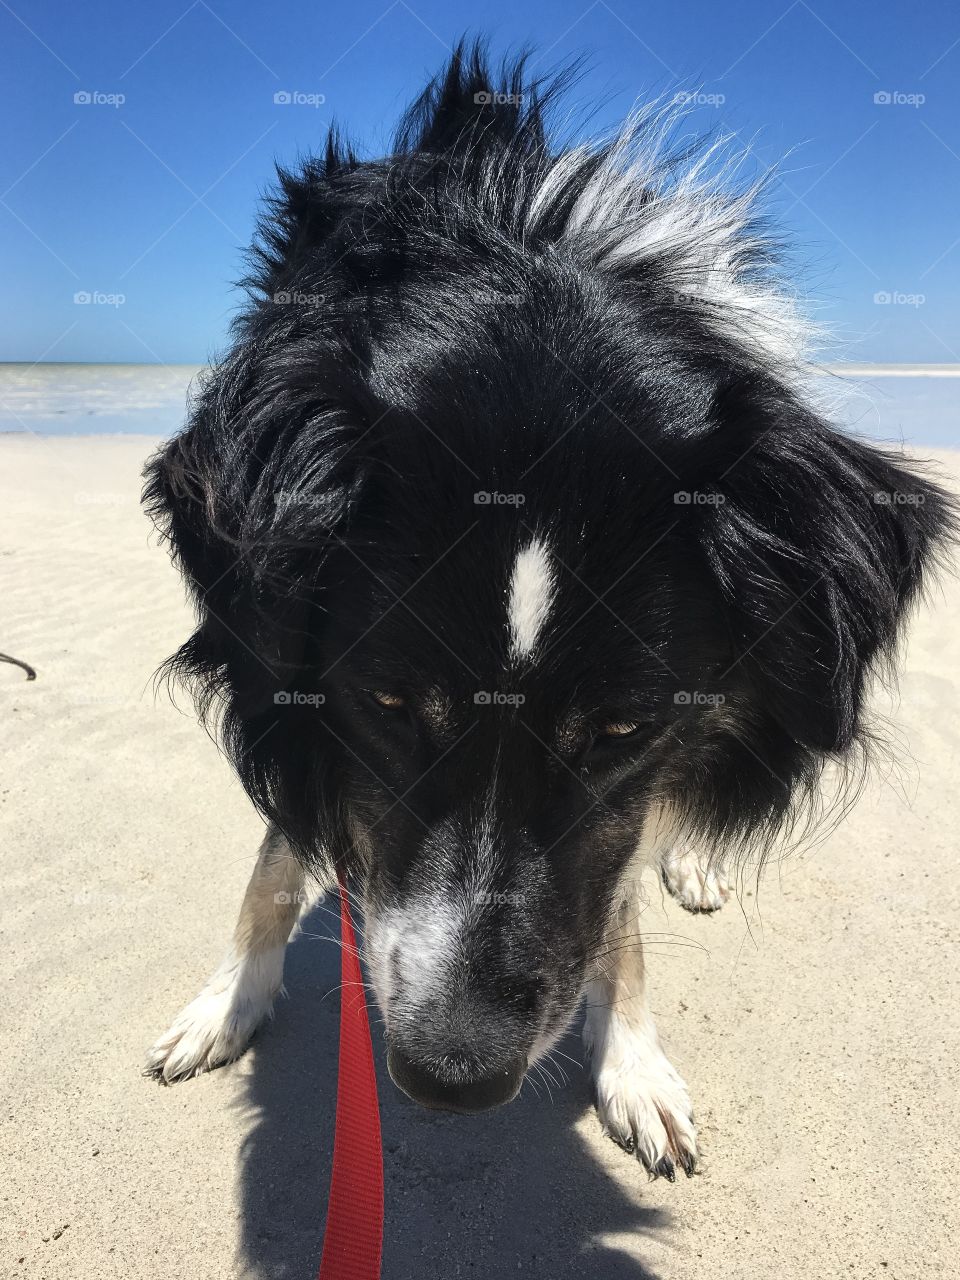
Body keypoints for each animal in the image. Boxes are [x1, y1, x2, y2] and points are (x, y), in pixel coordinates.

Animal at [142, 42, 957, 1177]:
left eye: (623, 727)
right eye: (386, 703)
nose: (454, 1077)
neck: (532, 290)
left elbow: (618, 896)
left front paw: (637, 1066)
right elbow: (272, 859)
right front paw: (224, 1005)